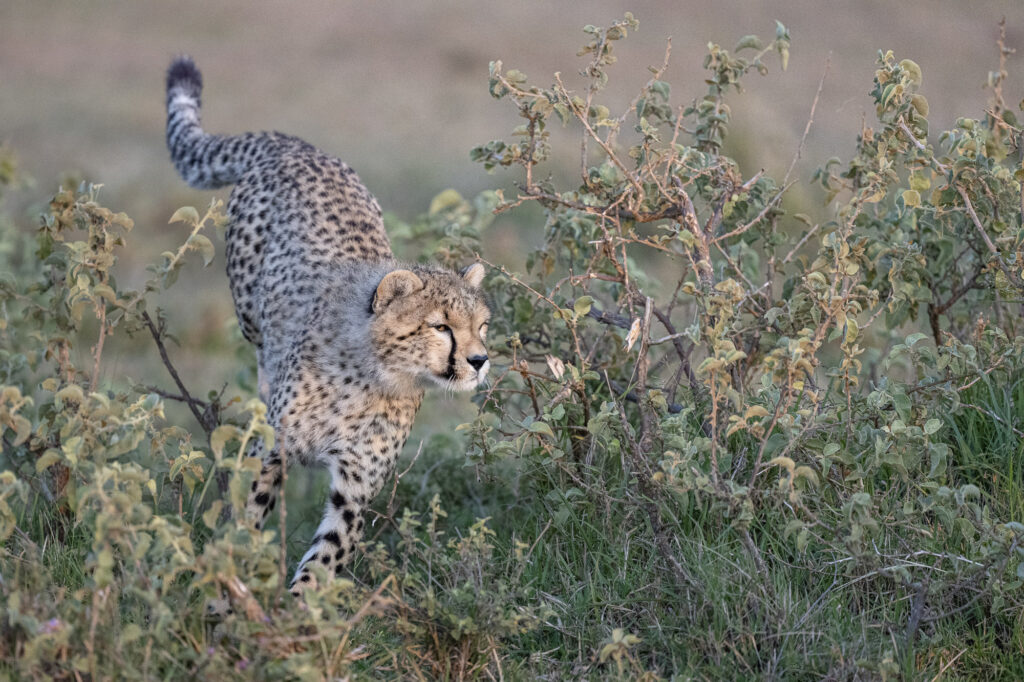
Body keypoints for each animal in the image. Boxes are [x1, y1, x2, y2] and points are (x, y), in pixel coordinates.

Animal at [165, 56, 491, 592]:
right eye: (440, 327)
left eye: (481, 326)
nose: (480, 361)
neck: (372, 376)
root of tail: (298, 146)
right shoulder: (273, 449)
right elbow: (250, 514)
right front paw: (233, 583)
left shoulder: (355, 486)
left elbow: (326, 556)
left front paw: (298, 609)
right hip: (250, 313)